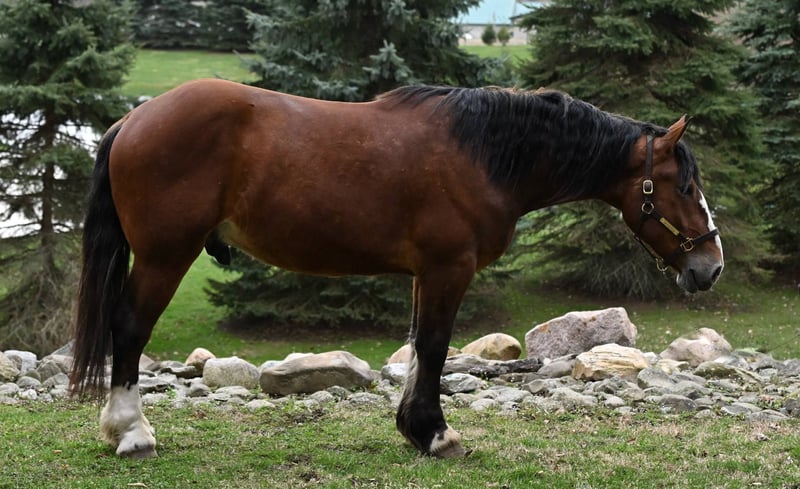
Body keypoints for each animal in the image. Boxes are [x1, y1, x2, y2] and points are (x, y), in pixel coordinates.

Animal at [69, 79, 723, 459]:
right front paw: (435, 433)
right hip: (164, 256)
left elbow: (416, 345)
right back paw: (131, 432)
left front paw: (414, 426)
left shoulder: (424, 273)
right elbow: (433, 346)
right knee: (129, 328)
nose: (711, 266)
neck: (484, 153)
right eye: (684, 186)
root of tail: (134, 119)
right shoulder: (448, 268)